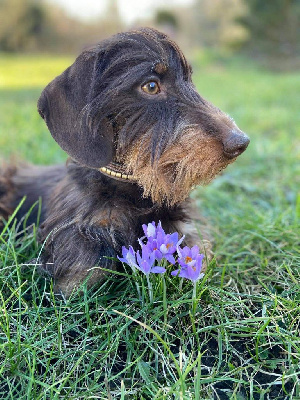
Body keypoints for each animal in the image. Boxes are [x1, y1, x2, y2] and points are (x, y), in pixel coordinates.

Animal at [0, 28, 248, 296]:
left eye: (189, 81)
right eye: (151, 85)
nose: (241, 142)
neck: (134, 188)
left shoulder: (185, 232)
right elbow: (84, 276)